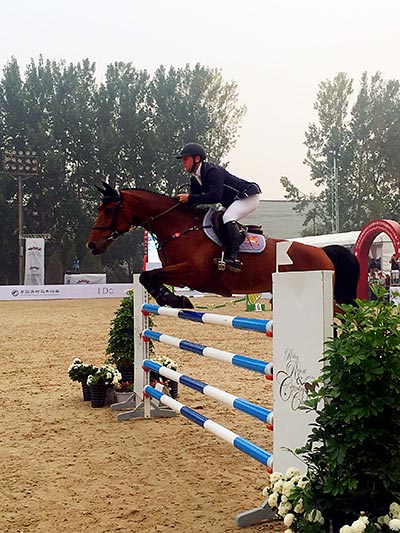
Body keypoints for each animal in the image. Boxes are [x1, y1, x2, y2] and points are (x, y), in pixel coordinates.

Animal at [86, 182, 360, 308]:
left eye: (108, 210)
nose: (92, 245)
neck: (179, 228)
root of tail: (322, 252)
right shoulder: (182, 276)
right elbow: (148, 277)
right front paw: (173, 299)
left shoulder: (194, 272)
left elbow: (148, 275)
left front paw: (175, 300)